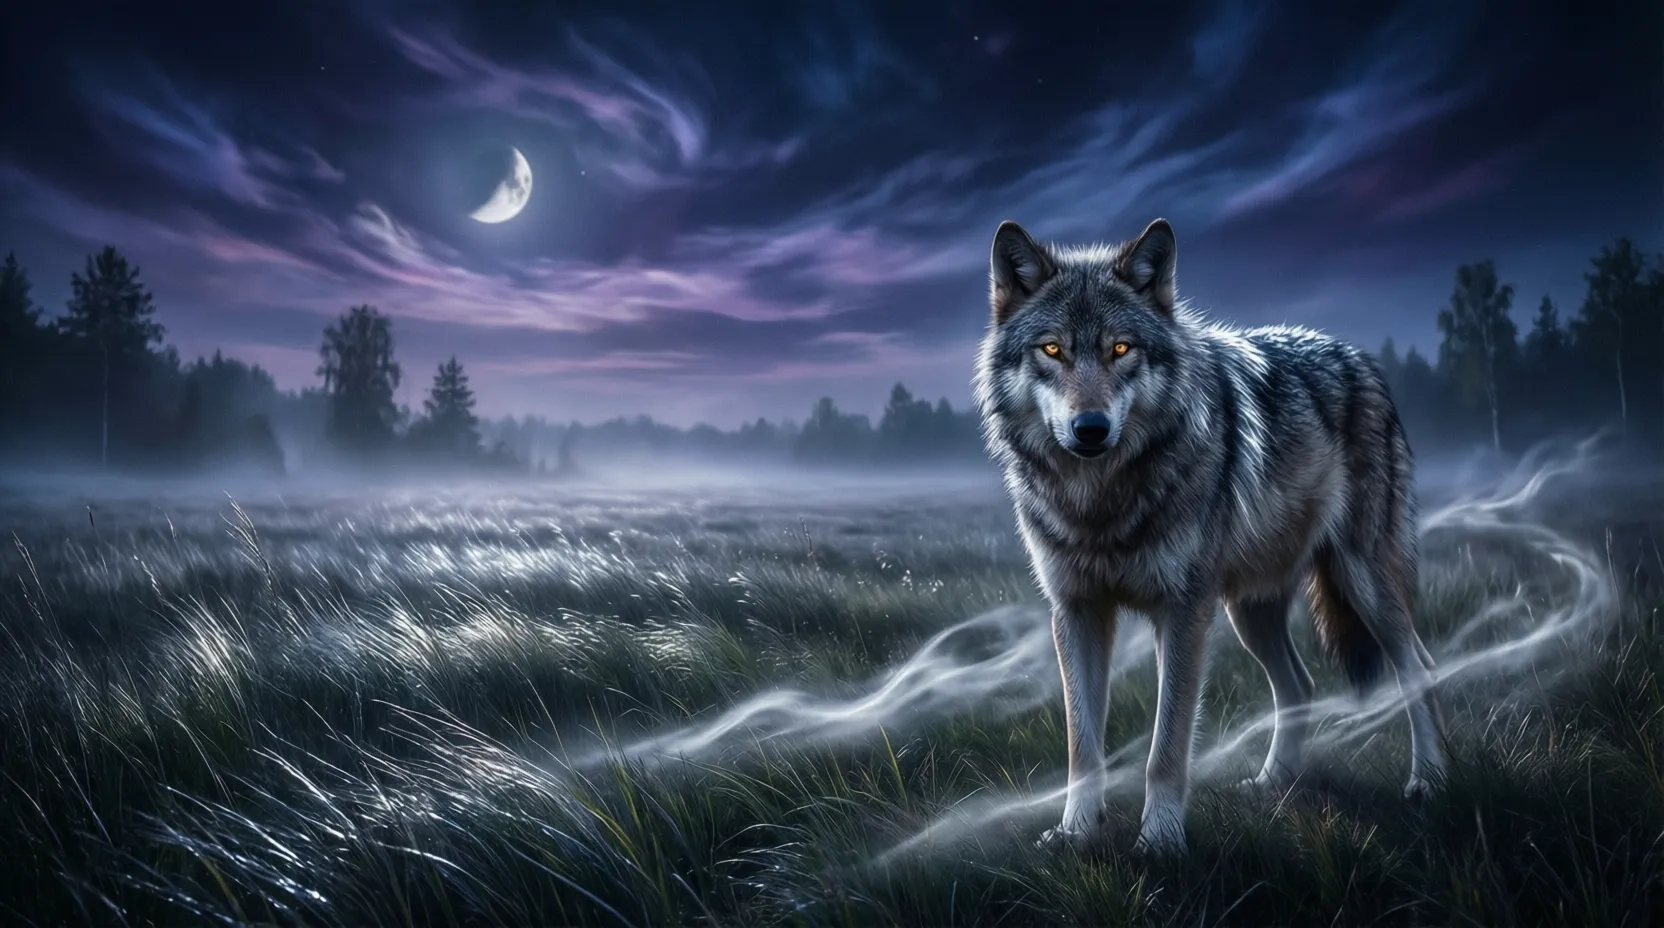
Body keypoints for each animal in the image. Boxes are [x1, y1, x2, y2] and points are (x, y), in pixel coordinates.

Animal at [972, 217, 1447, 855]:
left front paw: (1160, 839)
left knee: (1419, 667)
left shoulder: (1184, 611)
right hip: (1251, 610)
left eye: (1121, 349)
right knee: (1298, 685)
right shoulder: (1076, 610)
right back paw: (1272, 783)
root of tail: (1359, 358)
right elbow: (1082, 747)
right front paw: (1075, 832)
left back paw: (1430, 781)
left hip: (1363, 583)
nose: (1090, 429)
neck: (1101, 501)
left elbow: (1167, 746)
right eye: (1052, 349)